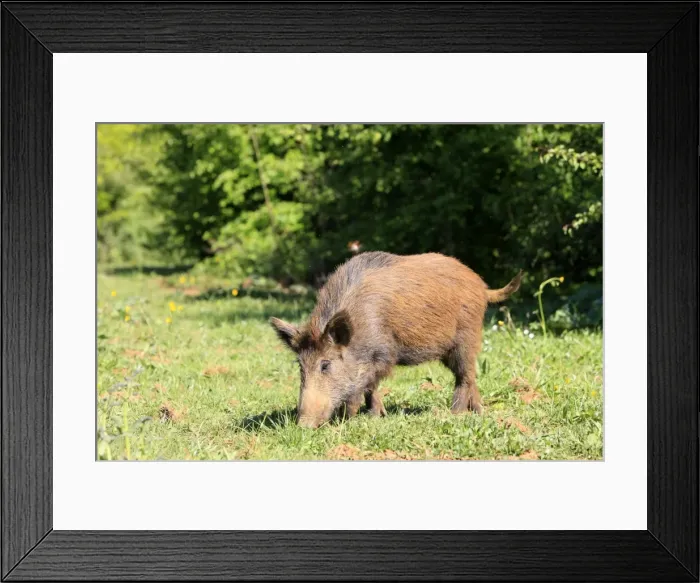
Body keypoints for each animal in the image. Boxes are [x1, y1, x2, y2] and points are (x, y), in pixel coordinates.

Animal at [270, 251, 521, 428]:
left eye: (325, 364)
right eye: (300, 366)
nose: (303, 426)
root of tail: (482, 286)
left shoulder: (384, 355)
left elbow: (368, 385)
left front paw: (358, 417)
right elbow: (369, 387)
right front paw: (376, 415)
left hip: (466, 338)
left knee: (464, 376)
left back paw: (455, 413)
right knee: (470, 375)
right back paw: (478, 411)